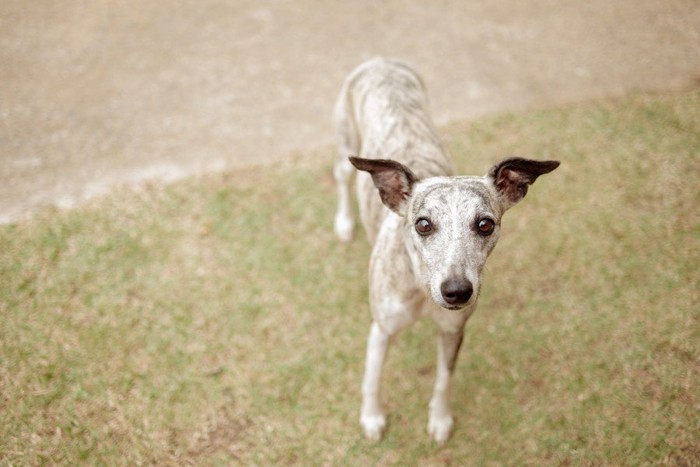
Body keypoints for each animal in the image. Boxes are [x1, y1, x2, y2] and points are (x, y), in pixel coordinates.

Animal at [332, 58, 556, 446]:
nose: (456, 292)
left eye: (485, 224)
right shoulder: (381, 329)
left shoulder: (453, 331)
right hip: (347, 143)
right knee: (342, 177)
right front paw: (372, 418)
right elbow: (372, 380)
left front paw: (440, 418)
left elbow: (443, 380)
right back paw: (344, 221)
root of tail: (380, 60)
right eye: (423, 224)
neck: (422, 288)